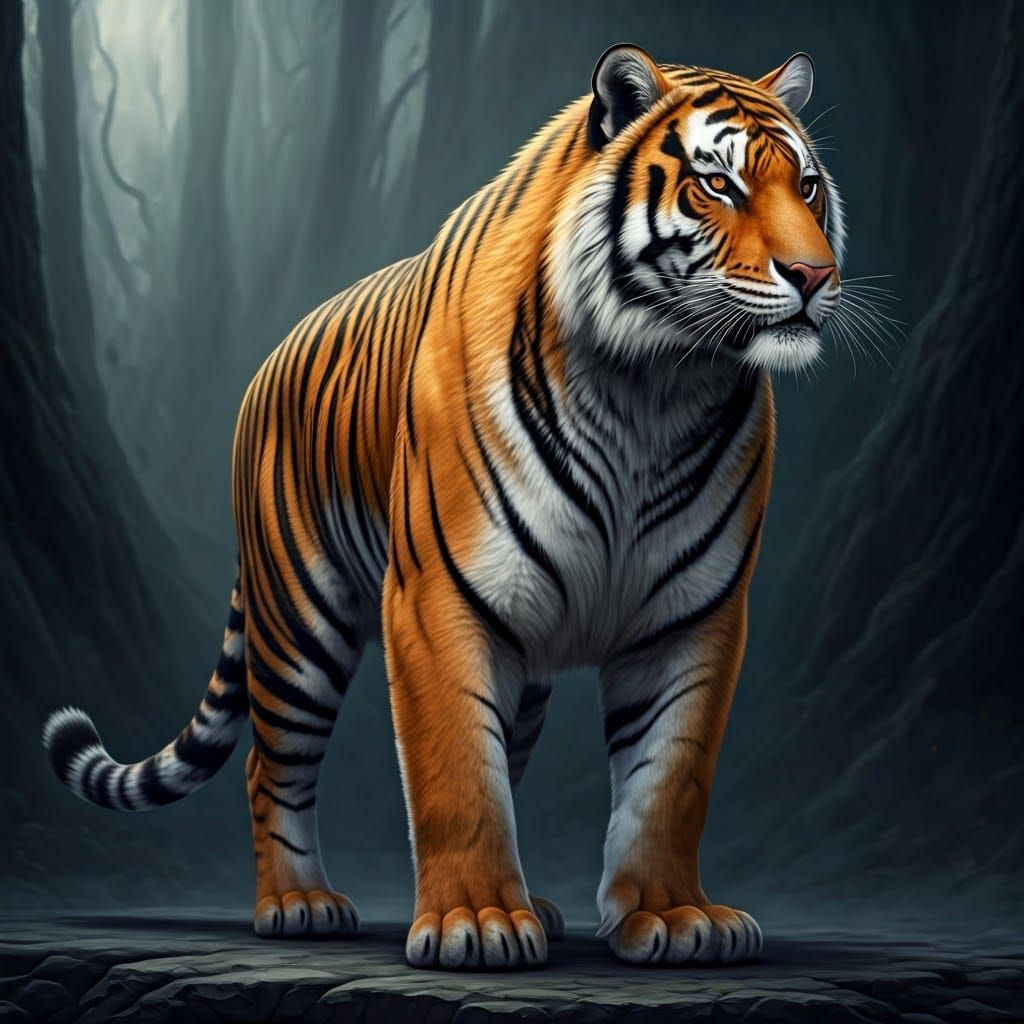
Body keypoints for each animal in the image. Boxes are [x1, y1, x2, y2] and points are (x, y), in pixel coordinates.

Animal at [43, 44, 844, 969]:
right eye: (718, 184)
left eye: (808, 187)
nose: (815, 275)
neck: (652, 385)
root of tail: (269, 358)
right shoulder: (437, 597)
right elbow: (457, 771)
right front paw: (478, 922)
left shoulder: (694, 614)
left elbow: (670, 776)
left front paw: (674, 917)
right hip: (298, 622)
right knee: (270, 765)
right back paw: (298, 903)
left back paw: (537, 903)